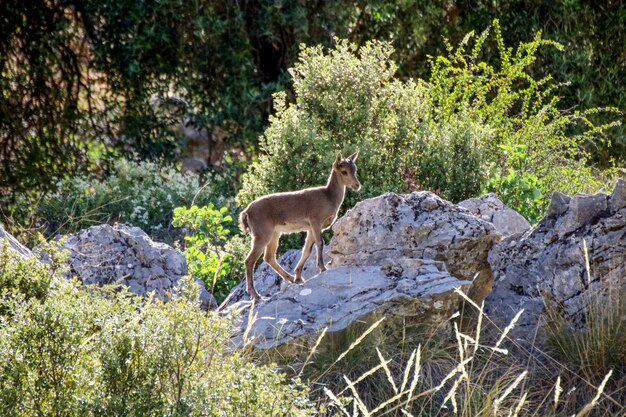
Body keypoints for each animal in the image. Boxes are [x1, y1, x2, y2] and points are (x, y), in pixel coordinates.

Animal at [238, 150, 360, 300]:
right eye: (344, 171)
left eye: (355, 169)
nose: (357, 185)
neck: (328, 197)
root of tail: (246, 212)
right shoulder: (315, 220)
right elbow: (320, 243)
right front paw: (322, 268)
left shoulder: (310, 228)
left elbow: (306, 249)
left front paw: (298, 276)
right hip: (261, 234)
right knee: (249, 261)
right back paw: (256, 295)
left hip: (275, 233)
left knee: (269, 257)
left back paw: (290, 278)